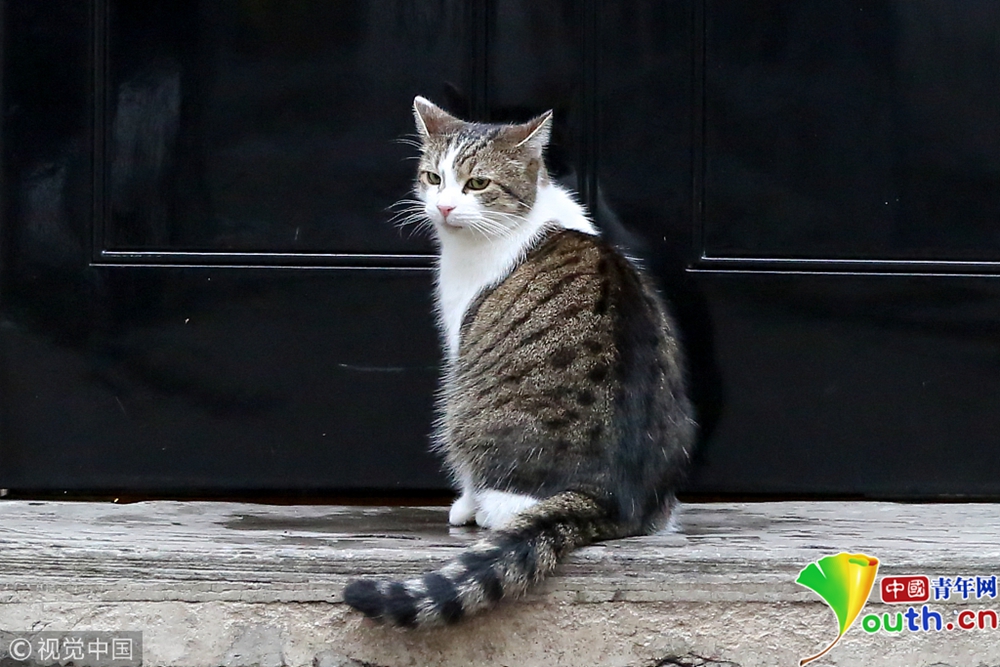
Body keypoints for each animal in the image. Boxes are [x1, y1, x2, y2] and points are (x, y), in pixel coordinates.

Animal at [342, 96, 696, 627]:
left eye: (477, 184)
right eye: (433, 178)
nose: (443, 206)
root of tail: (607, 497)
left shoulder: (460, 343)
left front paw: (463, 506)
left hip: (464, 412)